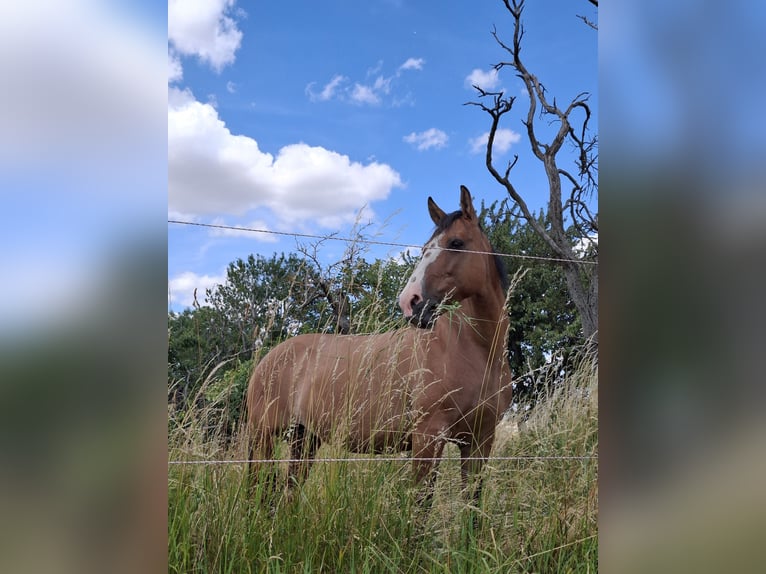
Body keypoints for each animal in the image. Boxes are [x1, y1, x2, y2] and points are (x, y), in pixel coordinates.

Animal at [245, 185, 513, 505]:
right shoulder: (428, 438)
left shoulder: (480, 441)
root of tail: (267, 359)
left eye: (456, 242)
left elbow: (472, 505)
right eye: (424, 248)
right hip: (264, 437)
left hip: (305, 438)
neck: (473, 350)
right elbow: (421, 506)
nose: (410, 302)